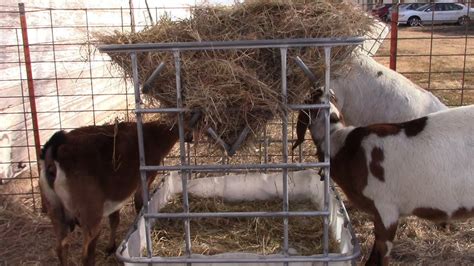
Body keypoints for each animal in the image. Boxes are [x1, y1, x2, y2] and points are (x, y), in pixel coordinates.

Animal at [39, 119, 191, 264]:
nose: (191, 138)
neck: (154, 137)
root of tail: (53, 152)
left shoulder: (114, 196)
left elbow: (114, 219)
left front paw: (111, 247)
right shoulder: (145, 179)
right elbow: (140, 205)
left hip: (54, 208)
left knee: (61, 247)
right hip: (90, 210)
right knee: (86, 253)